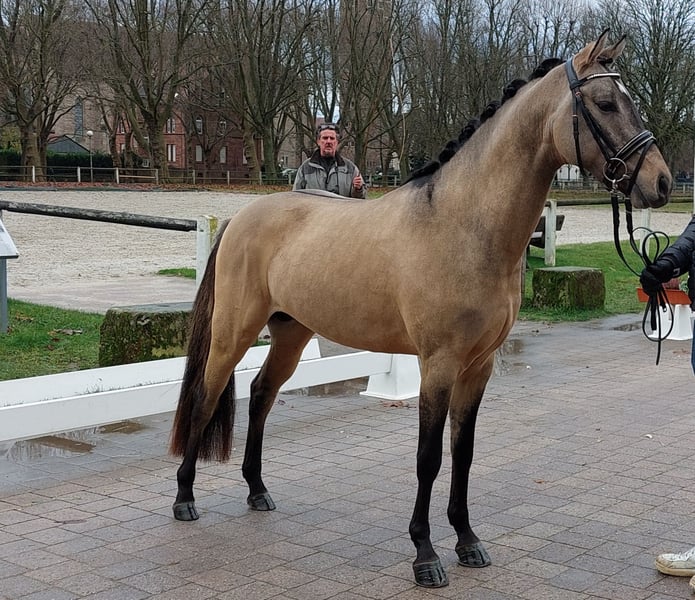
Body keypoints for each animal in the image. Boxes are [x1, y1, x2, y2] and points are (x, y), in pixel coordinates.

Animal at [169, 30, 671, 588]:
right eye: (605, 103)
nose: (662, 182)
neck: (464, 224)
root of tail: (241, 216)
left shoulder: (479, 366)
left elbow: (463, 453)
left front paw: (468, 541)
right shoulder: (440, 364)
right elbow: (428, 458)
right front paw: (425, 555)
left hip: (292, 333)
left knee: (260, 394)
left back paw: (257, 491)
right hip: (234, 331)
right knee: (206, 396)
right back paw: (185, 498)